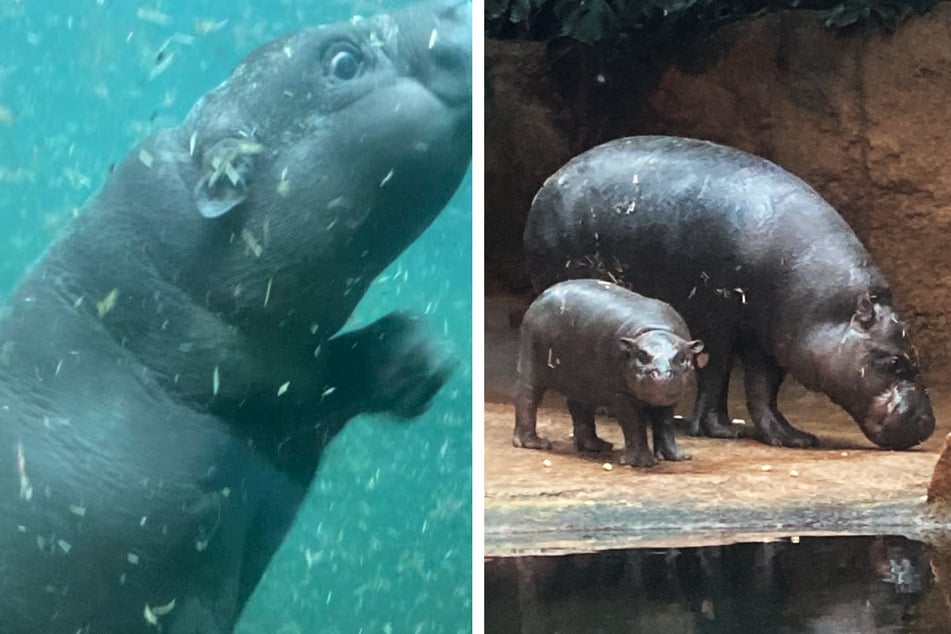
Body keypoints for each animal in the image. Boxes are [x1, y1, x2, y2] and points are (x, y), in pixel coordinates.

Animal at [512, 278, 708, 466]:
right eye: (641, 355)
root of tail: (543, 294)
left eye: (683, 358)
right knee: (527, 398)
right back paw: (535, 443)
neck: (657, 332)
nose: (661, 375)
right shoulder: (621, 394)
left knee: (580, 407)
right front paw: (642, 463)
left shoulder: (667, 398)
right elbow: (634, 423)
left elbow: (665, 423)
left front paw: (678, 457)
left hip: (581, 379)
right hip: (532, 363)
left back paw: (597, 446)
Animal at [528, 134, 936, 450]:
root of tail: (550, 181)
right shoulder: (717, 325)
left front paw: (794, 437)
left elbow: (763, 390)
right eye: (894, 361)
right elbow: (717, 376)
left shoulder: (767, 340)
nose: (929, 423)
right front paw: (722, 431)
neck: (829, 309)